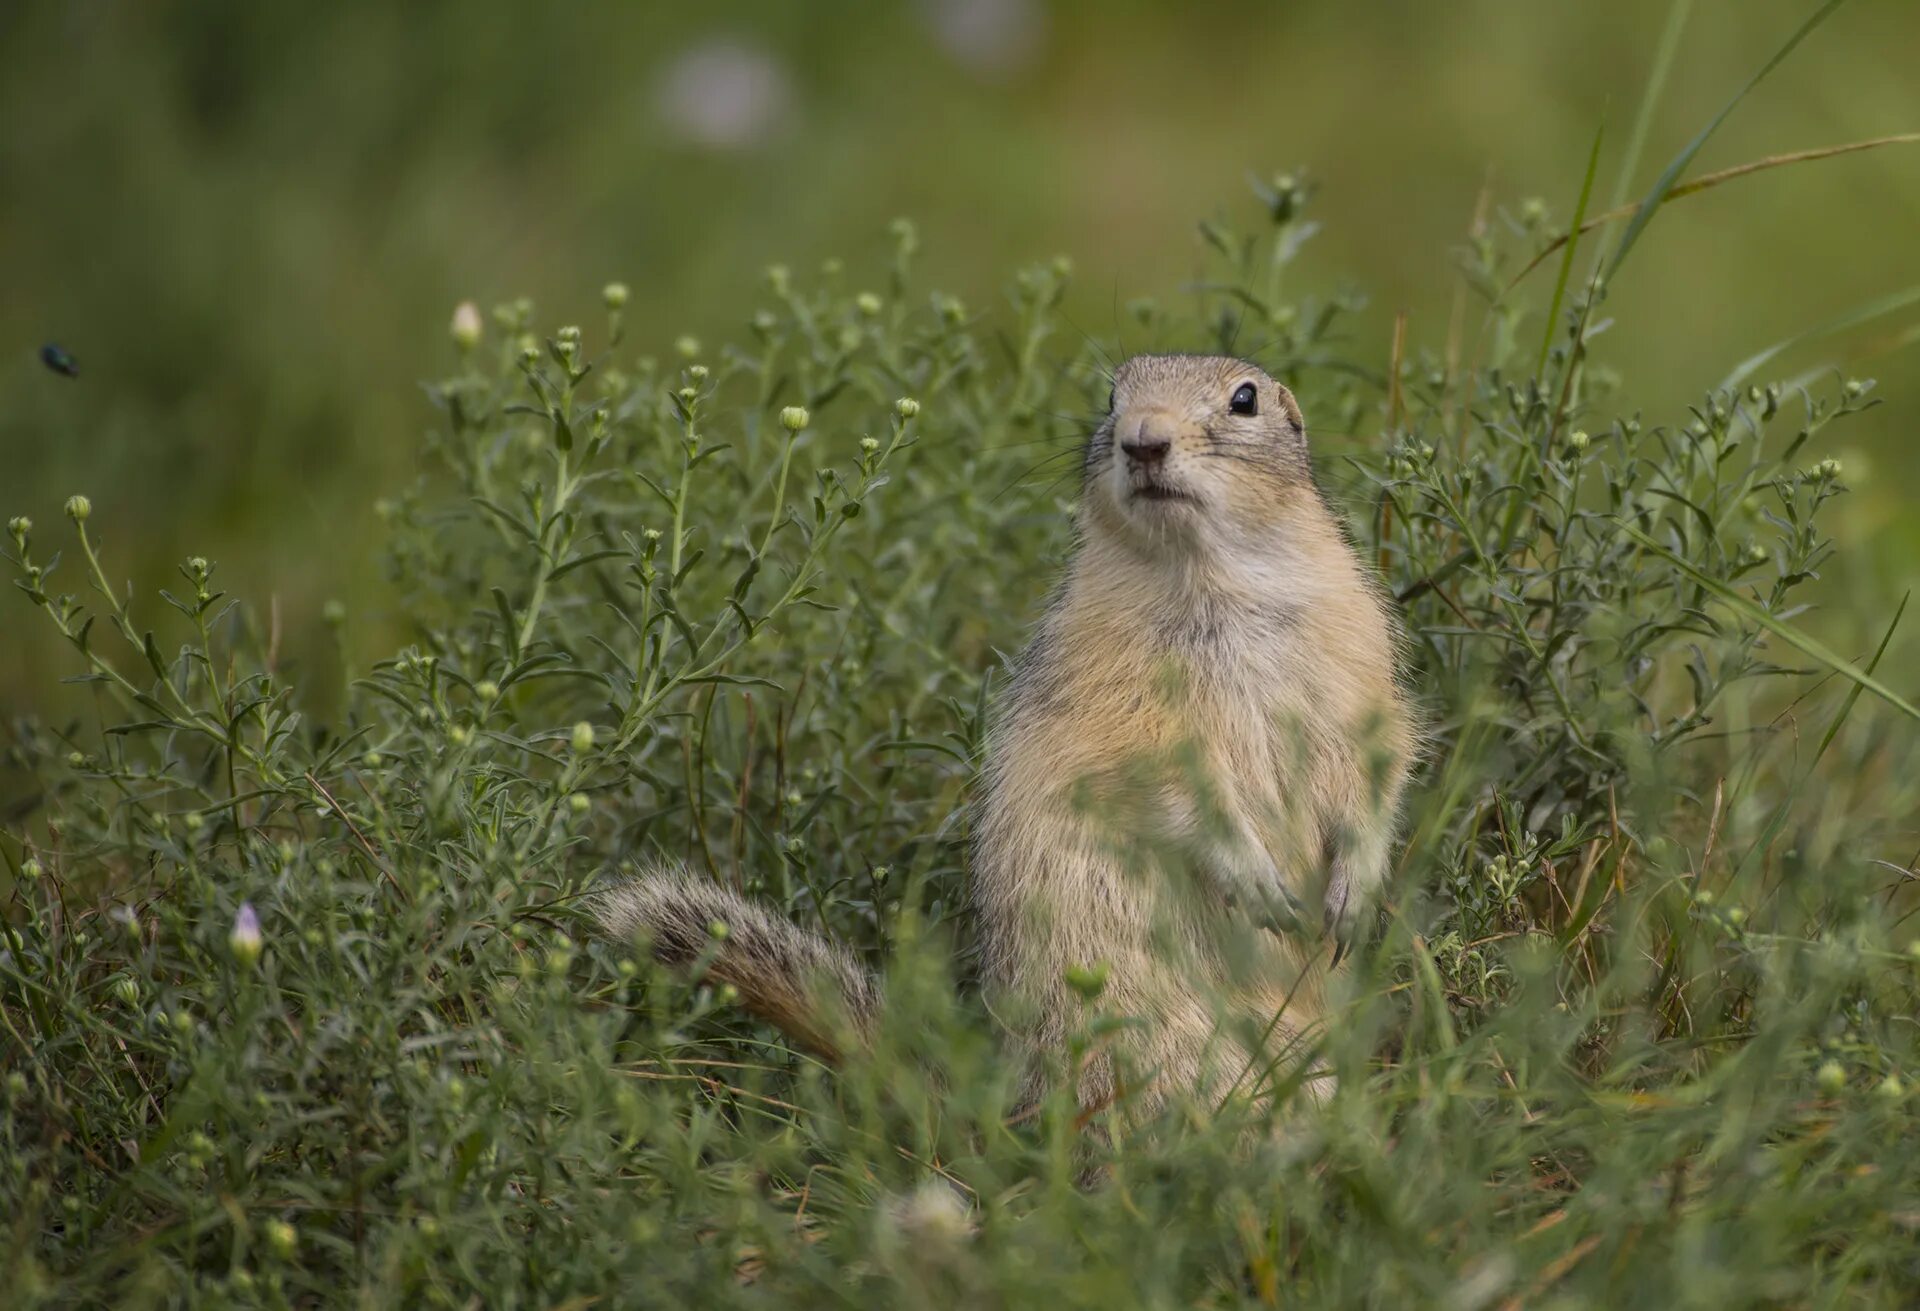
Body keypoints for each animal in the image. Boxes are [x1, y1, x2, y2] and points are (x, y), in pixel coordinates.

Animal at [591, 357, 1420, 1120]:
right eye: (1111, 395)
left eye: (1244, 398)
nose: (1143, 440)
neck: (1208, 573)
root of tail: (1006, 1113)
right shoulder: (1115, 703)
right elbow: (1171, 784)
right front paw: (1256, 879)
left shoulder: (1356, 659)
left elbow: (1378, 763)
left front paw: (1354, 892)